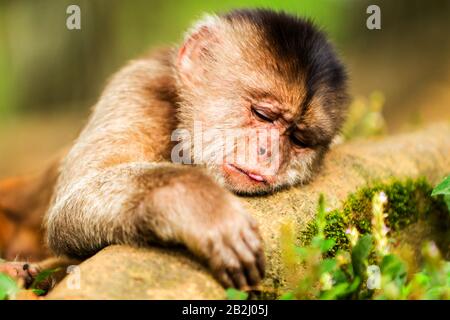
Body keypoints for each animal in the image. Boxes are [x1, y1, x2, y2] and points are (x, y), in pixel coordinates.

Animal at [0, 9, 348, 290]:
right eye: (263, 114)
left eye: (299, 139)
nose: (268, 154)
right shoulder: (140, 86)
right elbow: (70, 206)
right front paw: (194, 201)